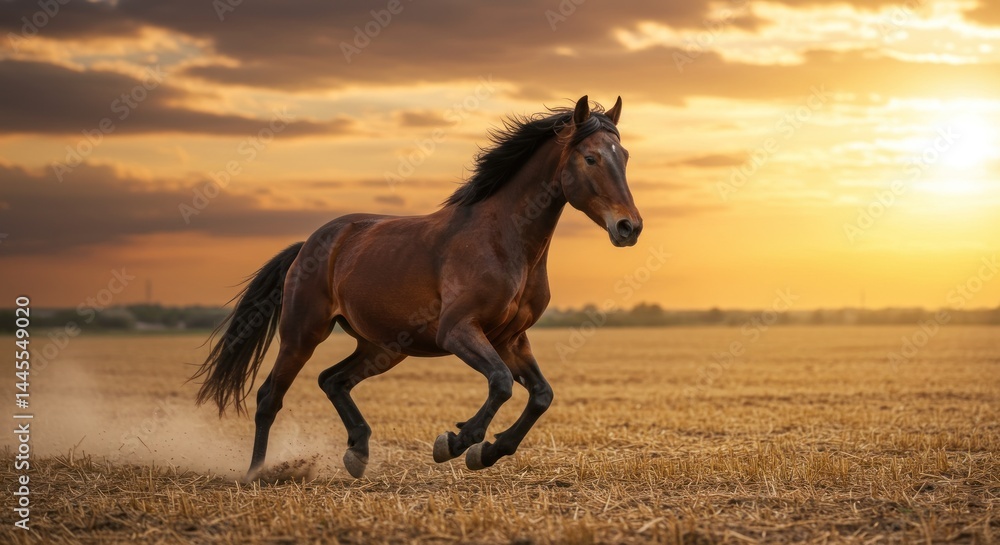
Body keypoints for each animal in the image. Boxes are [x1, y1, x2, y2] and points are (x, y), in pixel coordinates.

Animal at [192, 95, 643, 481]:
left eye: (623, 157)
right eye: (591, 157)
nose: (629, 227)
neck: (505, 240)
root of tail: (311, 244)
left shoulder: (512, 338)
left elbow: (541, 395)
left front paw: (487, 452)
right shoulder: (459, 330)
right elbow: (500, 382)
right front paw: (456, 443)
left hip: (384, 347)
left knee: (332, 380)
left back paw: (358, 452)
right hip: (303, 333)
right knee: (270, 396)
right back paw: (256, 472)